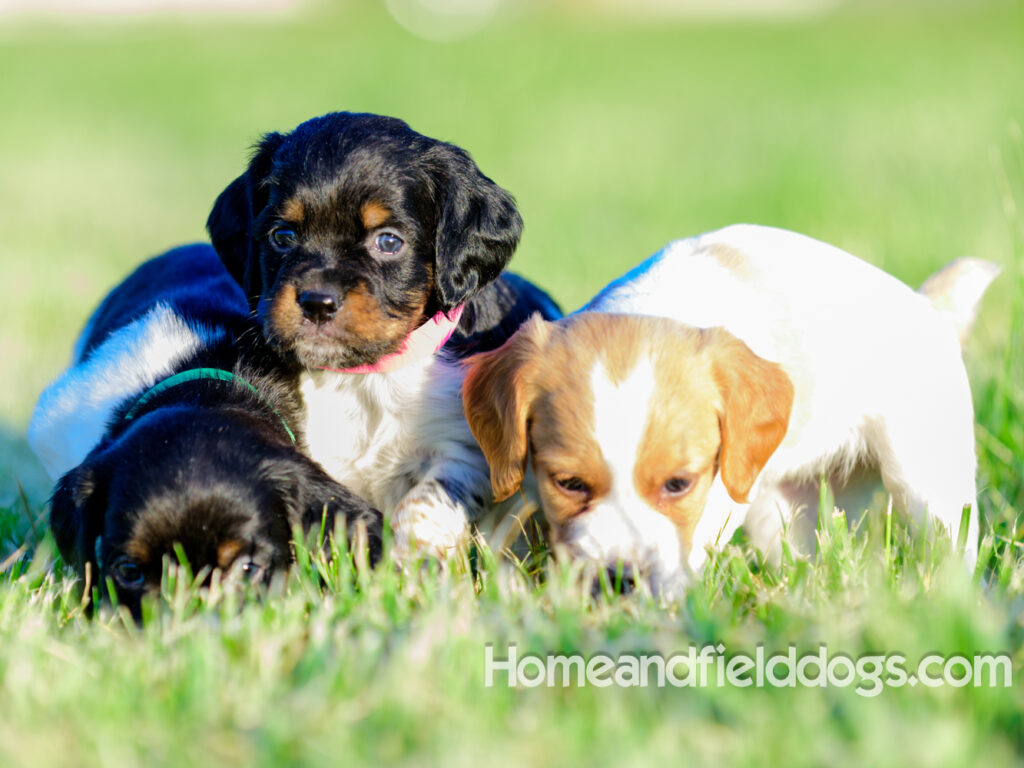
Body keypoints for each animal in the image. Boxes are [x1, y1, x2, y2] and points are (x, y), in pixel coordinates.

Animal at [207, 111, 561, 561]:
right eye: (282, 236)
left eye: (388, 241)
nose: (317, 302)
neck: (365, 378)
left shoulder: (466, 449)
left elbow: (425, 502)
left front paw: (412, 562)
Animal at [466, 222, 999, 593]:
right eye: (570, 484)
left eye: (678, 485)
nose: (621, 581)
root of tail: (930, 308)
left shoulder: (719, 496)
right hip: (786, 508)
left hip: (926, 481)